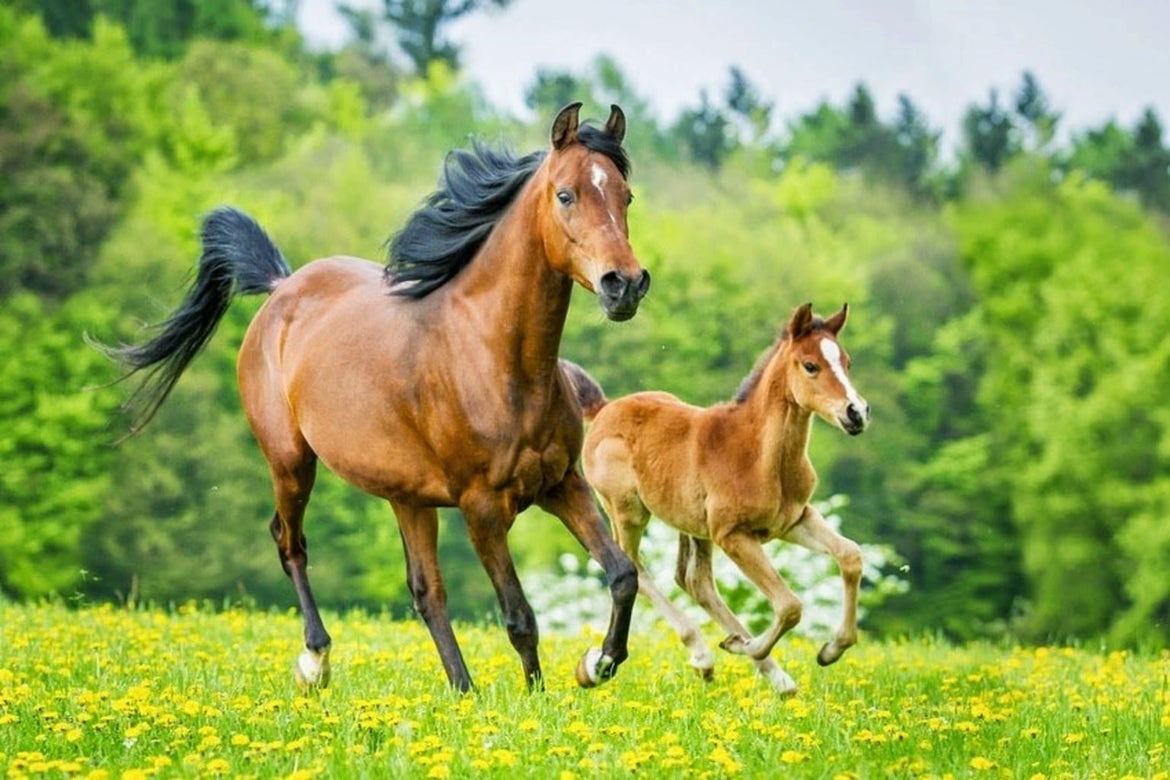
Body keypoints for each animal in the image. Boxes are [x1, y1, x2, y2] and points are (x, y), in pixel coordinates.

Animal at [95, 105, 655, 696]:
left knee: (426, 591)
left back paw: (462, 691)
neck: (497, 361)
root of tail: (280, 288)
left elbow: (623, 574)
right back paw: (316, 662)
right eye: (566, 194)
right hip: (291, 462)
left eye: (625, 195)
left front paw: (597, 663)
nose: (624, 285)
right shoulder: (482, 507)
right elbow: (519, 616)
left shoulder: (561, 483)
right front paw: (537, 699)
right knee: (290, 542)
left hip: (407, 496)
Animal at [570, 304, 865, 696]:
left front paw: (831, 650)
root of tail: (603, 409)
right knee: (636, 569)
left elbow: (850, 556)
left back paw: (773, 675)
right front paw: (746, 645)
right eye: (810, 365)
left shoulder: (795, 519)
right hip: (628, 511)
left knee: (693, 580)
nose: (856, 413)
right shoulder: (733, 535)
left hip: (692, 525)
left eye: (846, 362)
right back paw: (704, 653)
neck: (758, 454)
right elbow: (790, 605)